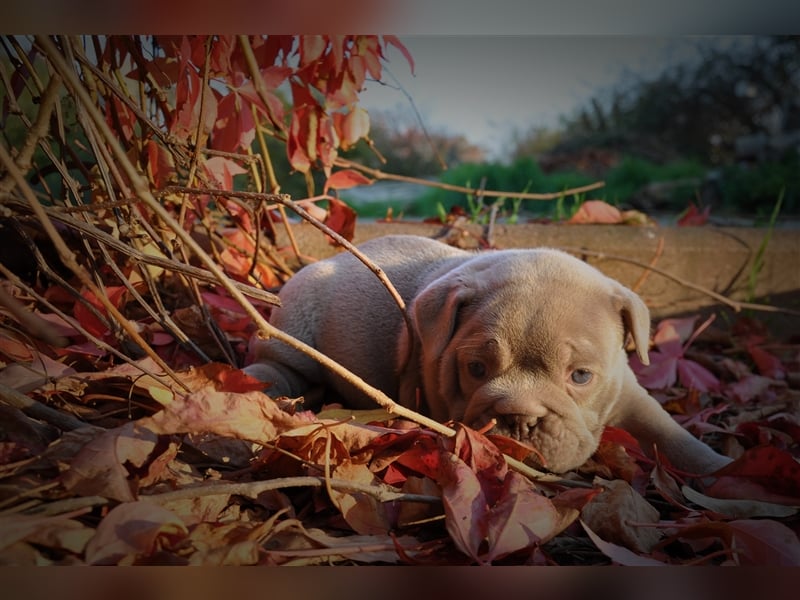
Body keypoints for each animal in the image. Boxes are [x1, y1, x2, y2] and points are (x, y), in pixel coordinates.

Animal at [245, 234, 732, 474]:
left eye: (580, 377)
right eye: (476, 369)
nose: (518, 419)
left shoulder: (629, 392)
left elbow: (670, 433)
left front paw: (721, 471)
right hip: (294, 326)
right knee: (279, 364)